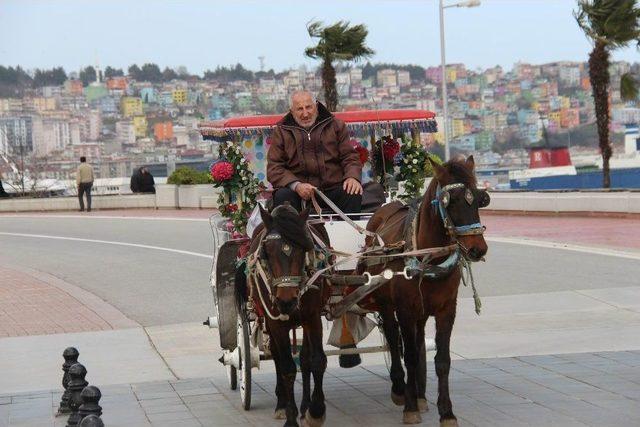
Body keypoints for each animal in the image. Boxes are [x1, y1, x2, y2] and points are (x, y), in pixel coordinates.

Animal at [238, 205, 332, 427]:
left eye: (304, 248)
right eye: (268, 251)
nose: (286, 301)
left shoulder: (312, 317)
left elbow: (316, 360)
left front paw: (315, 411)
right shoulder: (276, 323)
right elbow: (287, 368)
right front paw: (290, 417)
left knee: (304, 358)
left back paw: (305, 406)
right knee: (277, 357)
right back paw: (281, 403)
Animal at [360, 156, 490, 424]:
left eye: (479, 198)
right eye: (450, 201)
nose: (477, 249)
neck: (428, 256)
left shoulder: (446, 310)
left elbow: (442, 360)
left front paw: (446, 412)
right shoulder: (405, 310)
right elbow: (408, 355)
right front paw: (410, 407)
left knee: (418, 342)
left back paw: (419, 395)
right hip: (387, 305)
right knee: (394, 340)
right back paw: (401, 389)